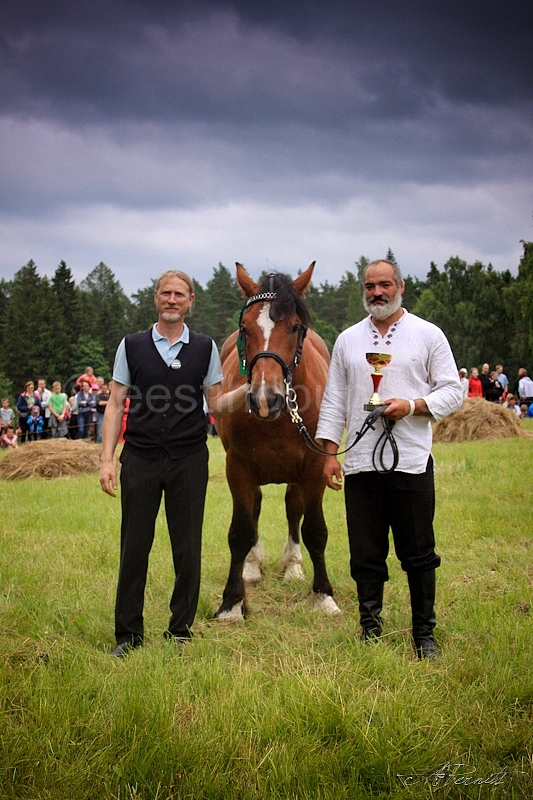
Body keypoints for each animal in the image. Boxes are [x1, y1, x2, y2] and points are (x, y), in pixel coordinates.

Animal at [214, 262, 341, 620]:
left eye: (295, 327)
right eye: (245, 329)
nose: (264, 398)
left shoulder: (314, 467)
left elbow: (314, 530)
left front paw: (323, 595)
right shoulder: (238, 467)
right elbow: (241, 531)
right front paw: (232, 603)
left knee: (293, 509)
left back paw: (294, 565)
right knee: (256, 507)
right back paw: (252, 566)